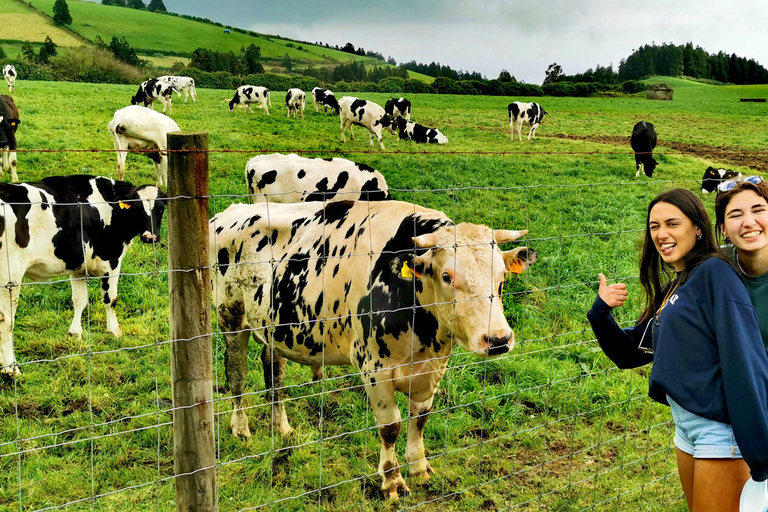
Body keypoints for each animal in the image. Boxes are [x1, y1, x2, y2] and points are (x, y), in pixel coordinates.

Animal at [0, 174, 167, 374]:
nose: (150, 237)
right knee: (6, 321)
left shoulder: (78, 266)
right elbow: (110, 299)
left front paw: (75, 333)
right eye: (136, 207)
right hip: (10, 277)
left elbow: (79, 300)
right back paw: (12, 369)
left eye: (160, 208)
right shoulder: (112, 260)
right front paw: (114, 331)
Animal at [207, 199, 536, 496]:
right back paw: (240, 427)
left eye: (502, 277)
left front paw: (419, 468)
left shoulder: (431, 368)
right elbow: (390, 426)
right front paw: (393, 482)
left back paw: (282, 428)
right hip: (230, 316)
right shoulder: (374, 368)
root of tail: (231, 211)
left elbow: (421, 417)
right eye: (447, 276)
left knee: (274, 374)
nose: (498, 339)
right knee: (236, 374)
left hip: (275, 329)